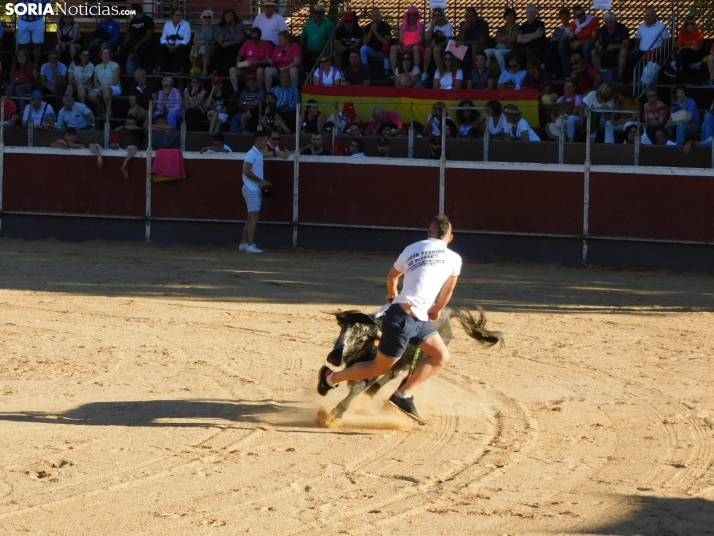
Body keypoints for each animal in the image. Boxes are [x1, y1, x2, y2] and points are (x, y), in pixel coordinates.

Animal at [320, 308, 498, 426]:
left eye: (360, 340)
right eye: (342, 330)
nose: (333, 357)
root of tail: (447, 313)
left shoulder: (373, 371)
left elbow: (356, 388)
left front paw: (334, 415)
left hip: (425, 357)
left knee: (405, 376)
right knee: (395, 374)